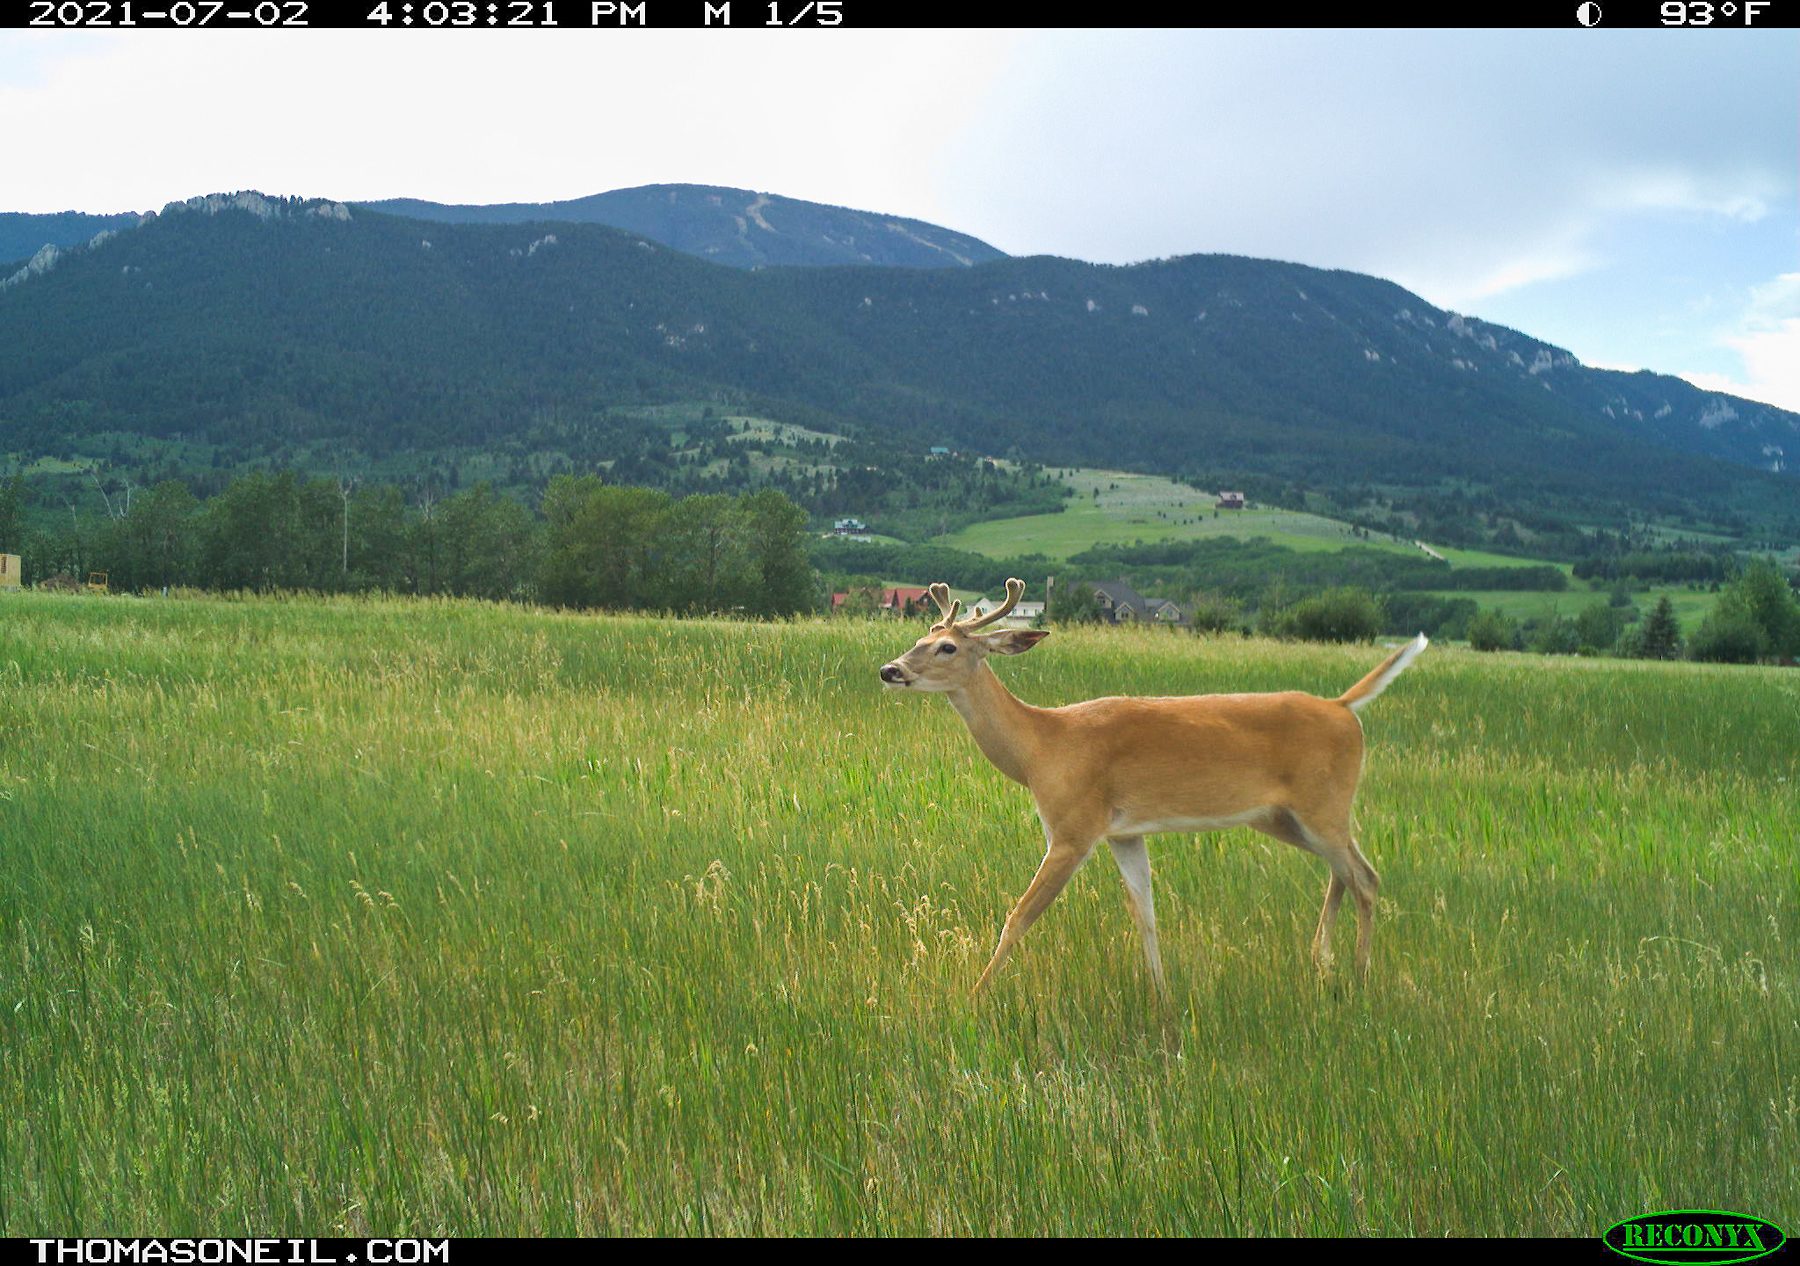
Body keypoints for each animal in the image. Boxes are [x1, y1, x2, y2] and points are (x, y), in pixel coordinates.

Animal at [878, 576, 1425, 1001]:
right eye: (921, 636)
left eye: (947, 646)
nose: (890, 669)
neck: (1041, 749)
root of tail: (1343, 707)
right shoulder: (1124, 832)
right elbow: (1145, 916)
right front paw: (1162, 997)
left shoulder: (1074, 828)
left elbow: (1019, 917)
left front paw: (974, 996)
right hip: (1283, 817)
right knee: (1343, 873)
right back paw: (1323, 962)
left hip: (1324, 803)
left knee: (1366, 877)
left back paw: (1358, 977)